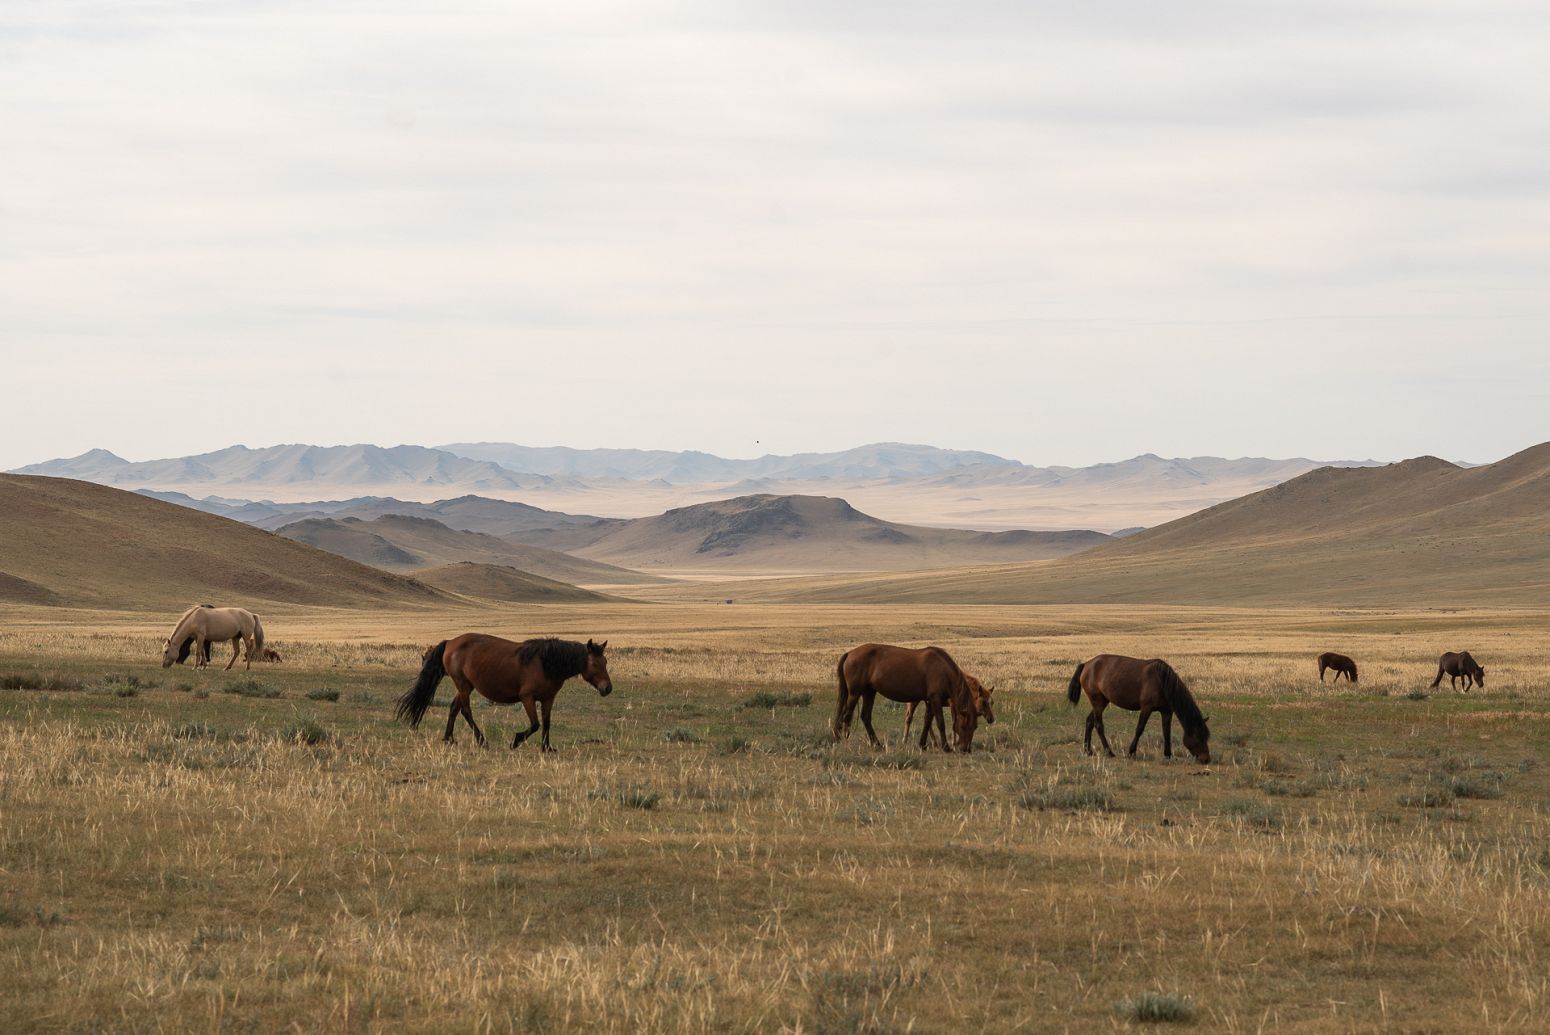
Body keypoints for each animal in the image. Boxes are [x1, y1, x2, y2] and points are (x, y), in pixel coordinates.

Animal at [396, 632, 613, 753]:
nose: (607, 688)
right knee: (465, 710)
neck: (546, 663)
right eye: (594, 664)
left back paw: (449, 738)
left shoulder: (548, 699)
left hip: (467, 684)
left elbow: (546, 724)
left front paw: (546, 748)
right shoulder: (527, 698)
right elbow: (535, 724)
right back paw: (481, 741)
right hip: (463, 684)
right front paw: (516, 741)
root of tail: (450, 642)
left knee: (454, 708)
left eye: (605, 662)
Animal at [830, 638, 973, 753]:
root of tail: (850, 653)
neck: (942, 668)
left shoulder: (929, 700)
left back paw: (876, 744)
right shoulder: (935, 698)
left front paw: (922, 745)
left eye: (975, 726)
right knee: (847, 716)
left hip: (869, 692)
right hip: (855, 693)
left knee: (865, 717)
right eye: (964, 726)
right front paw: (946, 747)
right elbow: (940, 723)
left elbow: (927, 722)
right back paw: (846, 742)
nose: (966, 749)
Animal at [1066, 653, 1209, 759]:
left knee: (1089, 722)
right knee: (1098, 725)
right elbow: (1139, 729)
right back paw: (1109, 752)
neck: (1162, 682)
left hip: (1102, 702)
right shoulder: (1146, 708)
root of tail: (1086, 664)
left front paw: (1168, 755)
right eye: (1198, 737)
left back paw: (1088, 751)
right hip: (1097, 701)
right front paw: (1131, 752)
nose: (1206, 759)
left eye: (1206, 737)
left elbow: (1166, 732)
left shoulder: (1167, 711)